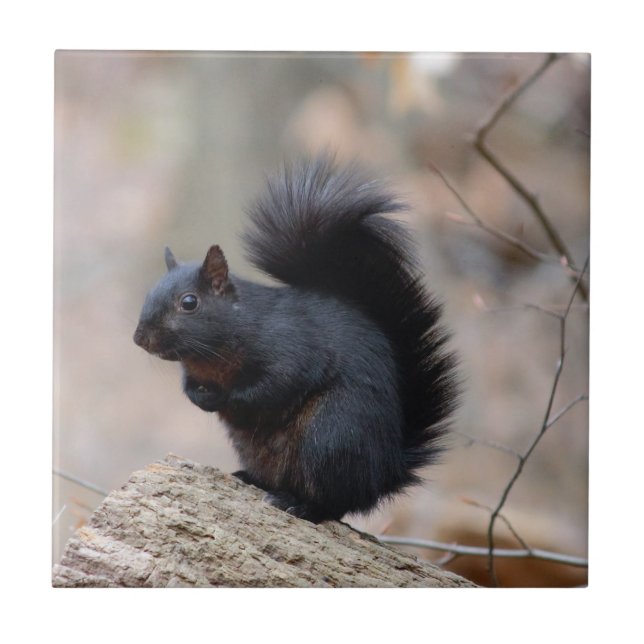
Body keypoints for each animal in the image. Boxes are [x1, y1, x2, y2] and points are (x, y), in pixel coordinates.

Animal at [133, 156, 459, 523]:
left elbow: (276, 384)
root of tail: (385, 472)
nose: (140, 338)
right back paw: (250, 479)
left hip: (331, 436)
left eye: (189, 302)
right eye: (149, 293)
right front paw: (197, 396)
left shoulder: (294, 348)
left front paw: (225, 398)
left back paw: (301, 505)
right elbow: (190, 385)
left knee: (335, 503)